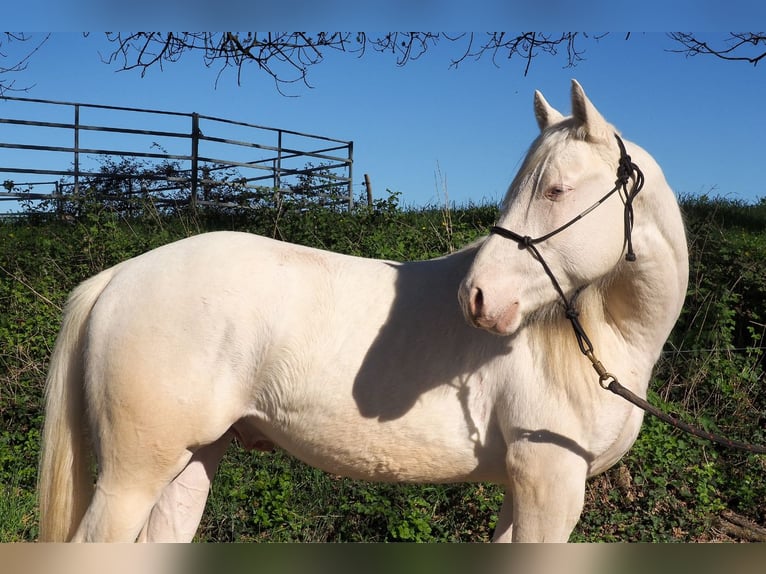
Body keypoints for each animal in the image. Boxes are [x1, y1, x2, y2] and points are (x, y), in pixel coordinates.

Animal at [38, 80, 688, 543]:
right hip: (131, 477)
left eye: (555, 189)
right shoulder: (548, 486)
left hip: (193, 460)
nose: (477, 298)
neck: (605, 337)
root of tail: (119, 276)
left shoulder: (523, 489)